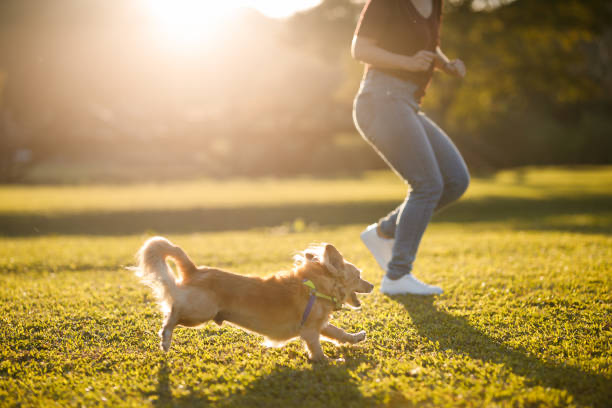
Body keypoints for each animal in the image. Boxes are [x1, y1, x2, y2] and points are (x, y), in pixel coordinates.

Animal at [134, 236, 372, 360]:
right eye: (359, 276)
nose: (371, 285)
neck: (317, 286)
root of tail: (195, 270)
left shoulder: (318, 324)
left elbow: (338, 332)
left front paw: (355, 337)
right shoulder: (310, 330)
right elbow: (317, 349)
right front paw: (329, 361)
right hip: (199, 313)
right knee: (172, 312)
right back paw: (165, 337)